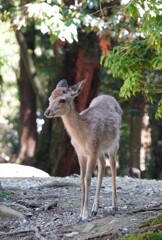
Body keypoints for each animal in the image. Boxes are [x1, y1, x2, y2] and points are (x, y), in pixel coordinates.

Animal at [43, 79, 122, 222]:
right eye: (50, 98)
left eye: (62, 100)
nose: (47, 112)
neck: (82, 137)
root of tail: (109, 96)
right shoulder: (80, 153)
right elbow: (81, 179)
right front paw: (80, 214)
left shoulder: (92, 151)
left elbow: (88, 178)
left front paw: (84, 215)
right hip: (99, 149)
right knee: (103, 164)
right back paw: (95, 209)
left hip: (113, 143)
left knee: (113, 165)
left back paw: (114, 205)